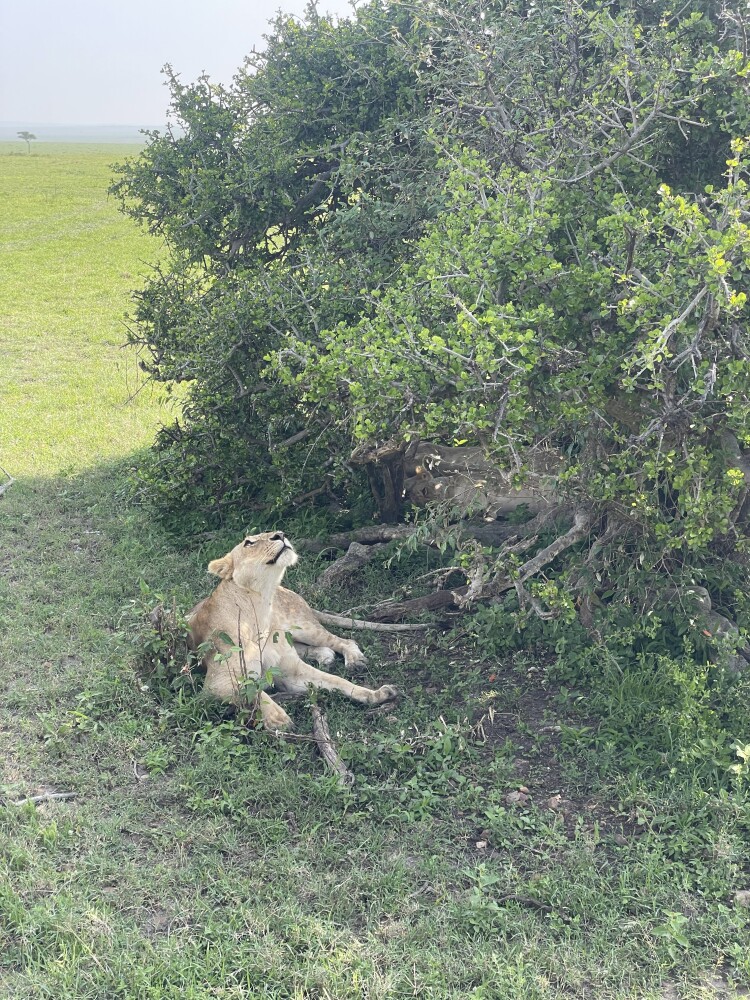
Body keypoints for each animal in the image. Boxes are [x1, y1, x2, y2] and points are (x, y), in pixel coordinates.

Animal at [187, 531, 397, 731]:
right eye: (248, 542)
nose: (280, 534)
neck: (261, 608)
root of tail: (285, 590)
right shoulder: (215, 684)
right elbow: (255, 690)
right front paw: (278, 719)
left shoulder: (292, 673)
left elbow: (338, 681)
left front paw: (376, 694)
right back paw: (326, 657)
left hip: (303, 627)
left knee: (343, 641)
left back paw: (354, 660)